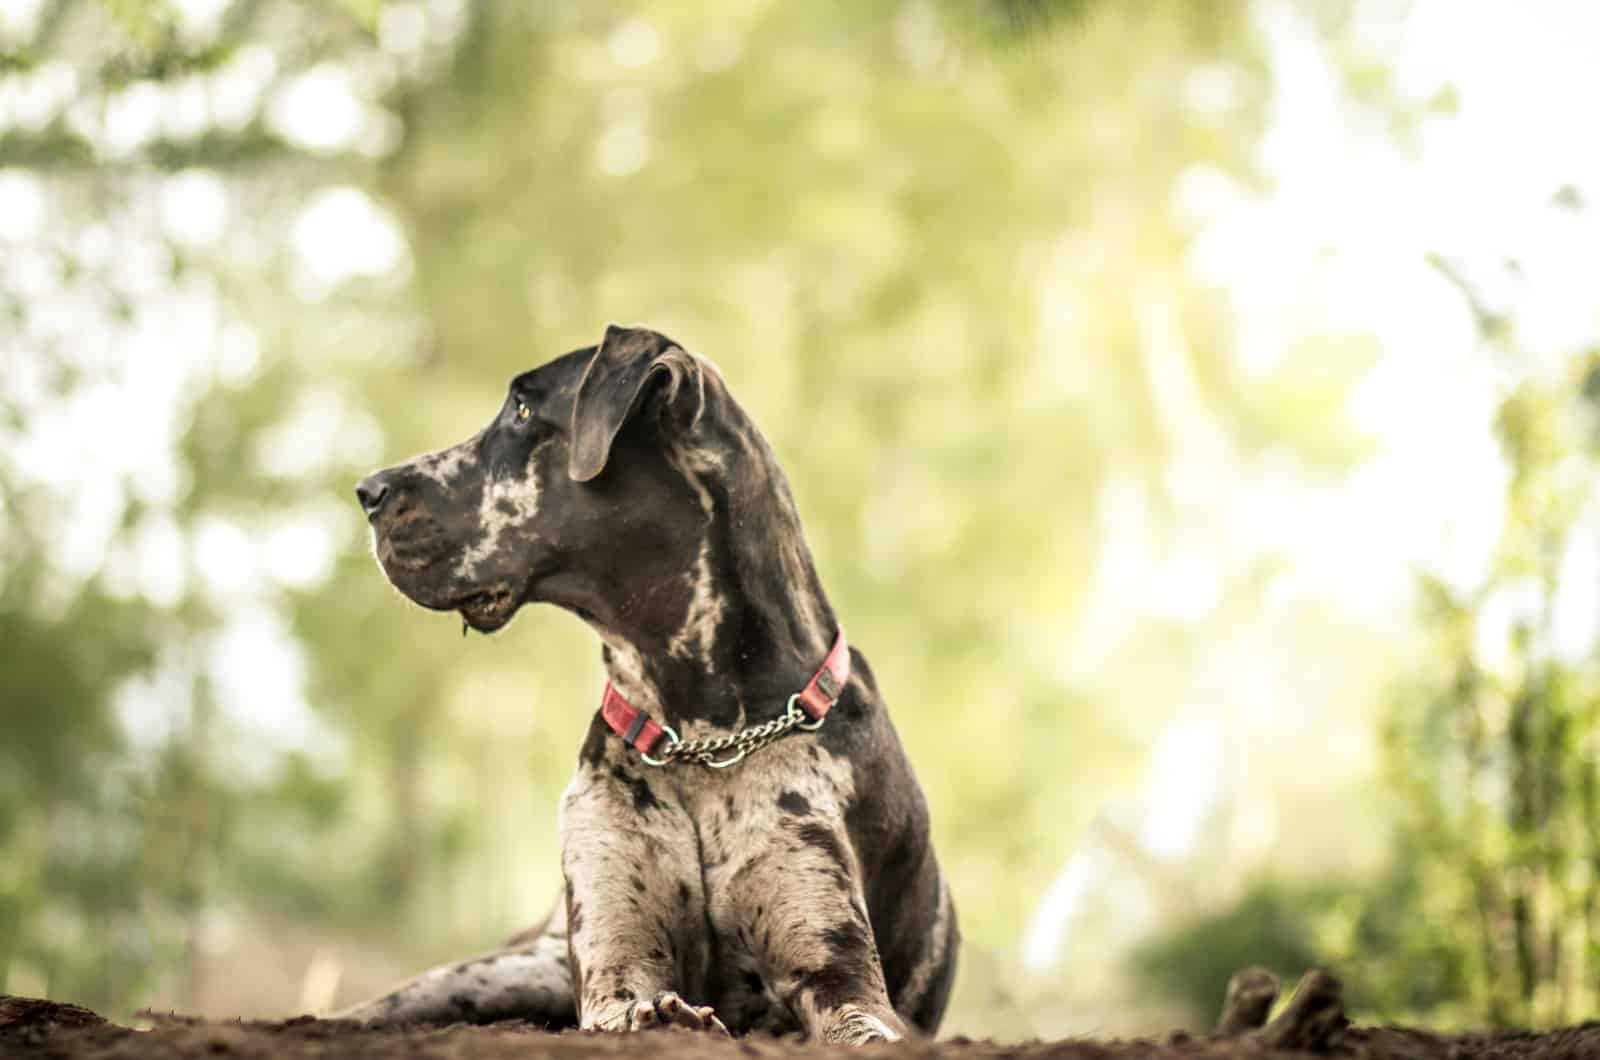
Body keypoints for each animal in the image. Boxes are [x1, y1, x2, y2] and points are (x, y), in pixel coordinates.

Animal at [342, 329, 953, 1043]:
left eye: (522, 409)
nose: (368, 489)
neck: (702, 737)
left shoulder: (840, 976)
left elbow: (860, 1020)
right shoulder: (614, 953)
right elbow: (624, 1001)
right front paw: (665, 1014)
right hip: (502, 970)